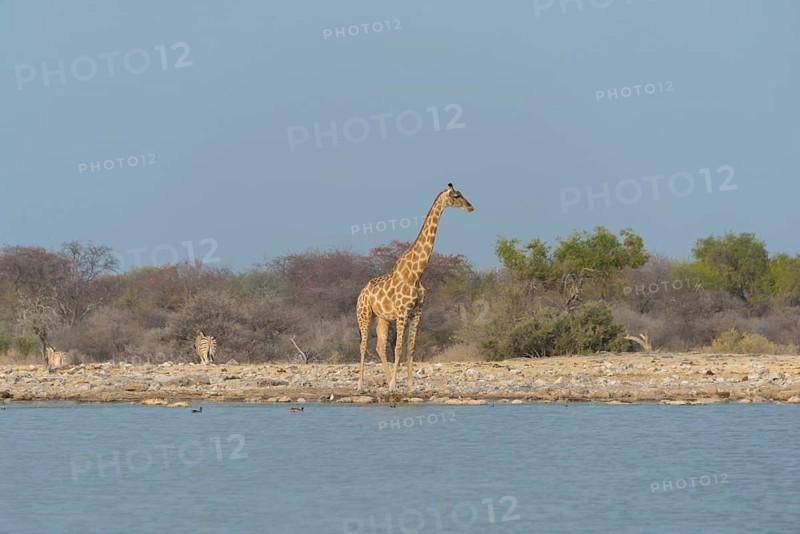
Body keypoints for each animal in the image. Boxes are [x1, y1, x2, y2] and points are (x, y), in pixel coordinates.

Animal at [356, 183, 474, 394]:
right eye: (456, 195)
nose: (471, 207)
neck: (416, 274)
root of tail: (361, 293)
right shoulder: (402, 312)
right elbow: (398, 348)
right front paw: (394, 386)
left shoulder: (417, 312)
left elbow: (410, 348)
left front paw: (409, 387)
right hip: (364, 314)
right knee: (363, 345)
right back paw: (361, 386)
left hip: (382, 318)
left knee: (379, 347)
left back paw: (388, 381)